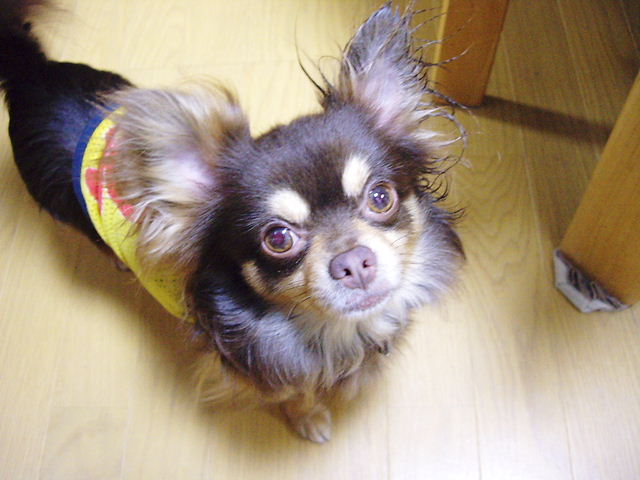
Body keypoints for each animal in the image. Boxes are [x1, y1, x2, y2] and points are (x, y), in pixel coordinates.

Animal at [0, 0, 463, 443]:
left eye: (380, 197)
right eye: (278, 238)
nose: (352, 262)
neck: (328, 328)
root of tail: (31, 69)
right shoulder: (253, 369)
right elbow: (294, 394)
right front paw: (309, 419)